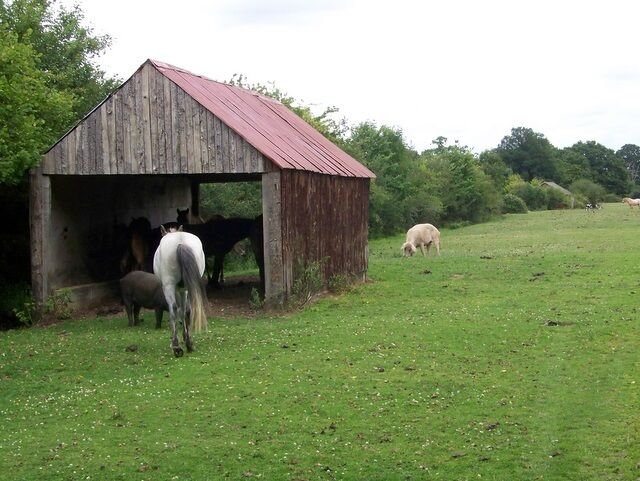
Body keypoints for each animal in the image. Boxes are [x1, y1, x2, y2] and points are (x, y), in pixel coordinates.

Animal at [153, 225, 208, 357]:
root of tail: (180, 242)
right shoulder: (184, 289)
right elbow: (184, 311)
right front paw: (186, 338)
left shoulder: (177, 289)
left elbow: (178, 311)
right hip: (188, 286)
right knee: (187, 310)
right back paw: (189, 343)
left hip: (169, 286)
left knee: (173, 309)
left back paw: (176, 346)